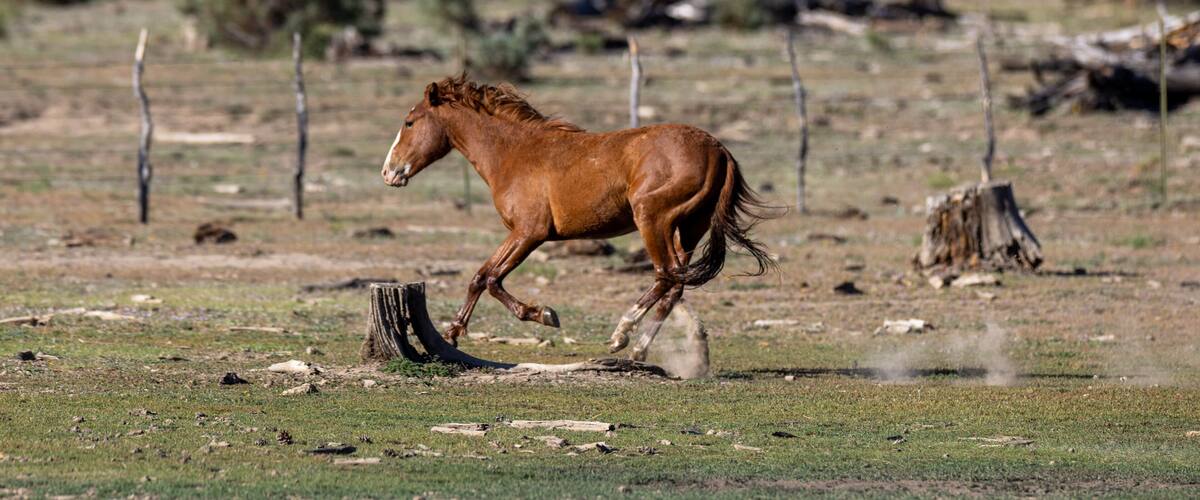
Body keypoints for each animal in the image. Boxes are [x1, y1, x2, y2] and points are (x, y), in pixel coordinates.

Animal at [380, 74, 774, 361]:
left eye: (409, 122)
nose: (389, 172)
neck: (513, 153)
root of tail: (719, 150)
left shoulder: (529, 232)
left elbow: (492, 279)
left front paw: (543, 314)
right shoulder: (519, 233)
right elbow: (479, 277)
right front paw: (452, 334)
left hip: (652, 220)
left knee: (666, 275)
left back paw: (622, 335)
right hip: (688, 229)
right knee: (675, 283)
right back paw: (639, 348)